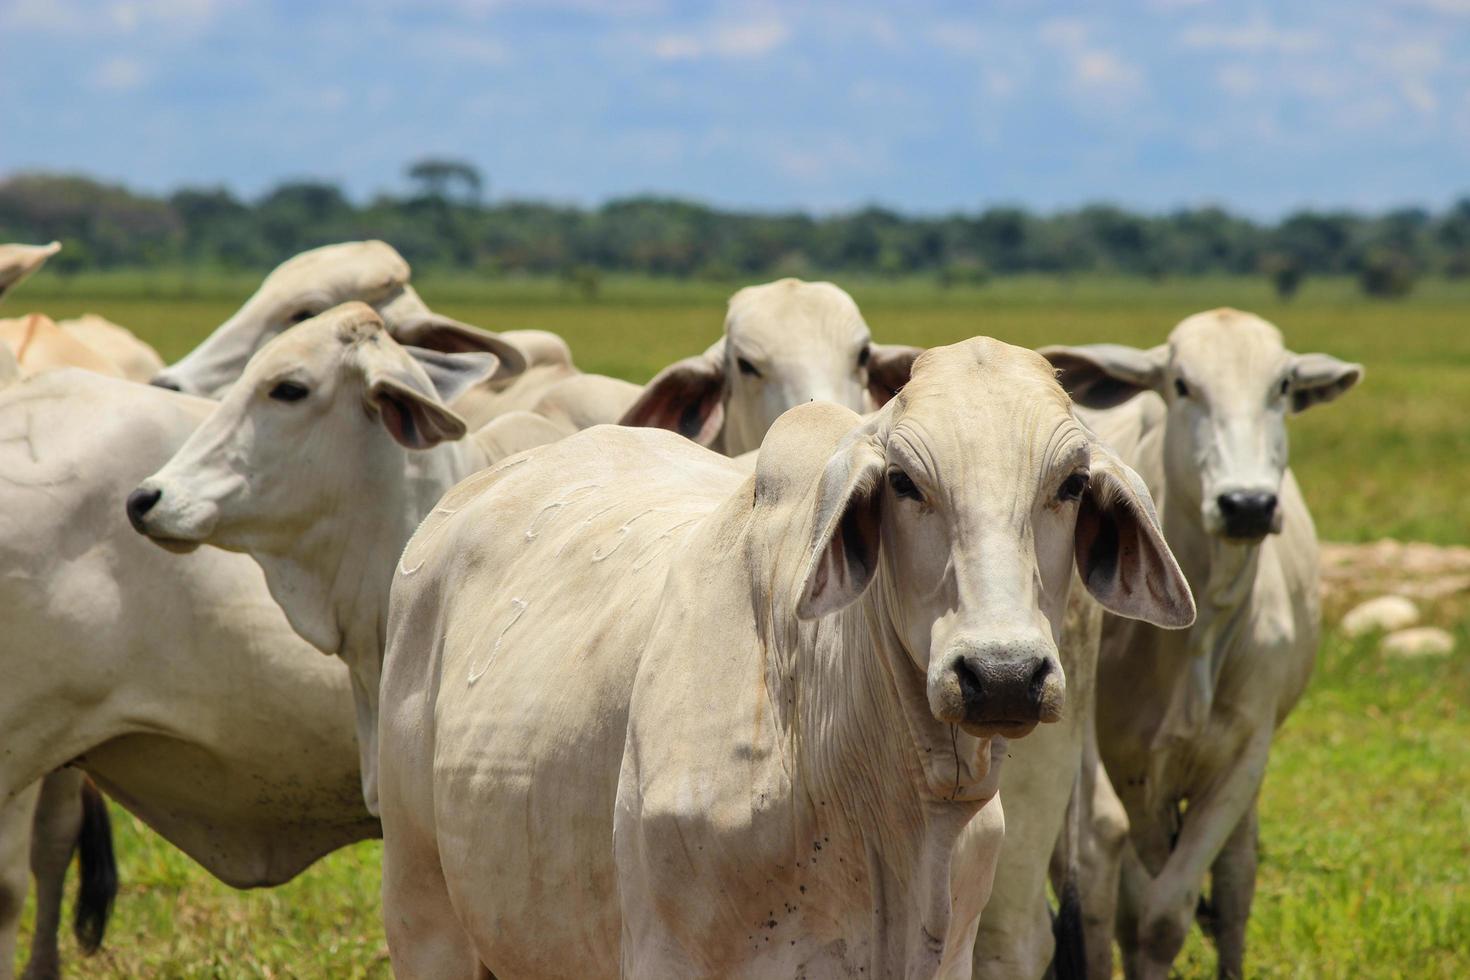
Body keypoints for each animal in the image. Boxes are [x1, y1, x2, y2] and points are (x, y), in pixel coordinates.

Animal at [1040, 308, 1358, 980]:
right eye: (1182, 385)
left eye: (1283, 386)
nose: (1247, 504)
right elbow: (1116, 893)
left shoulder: (1243, 760)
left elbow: (1165, 917)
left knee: (1236, 881)